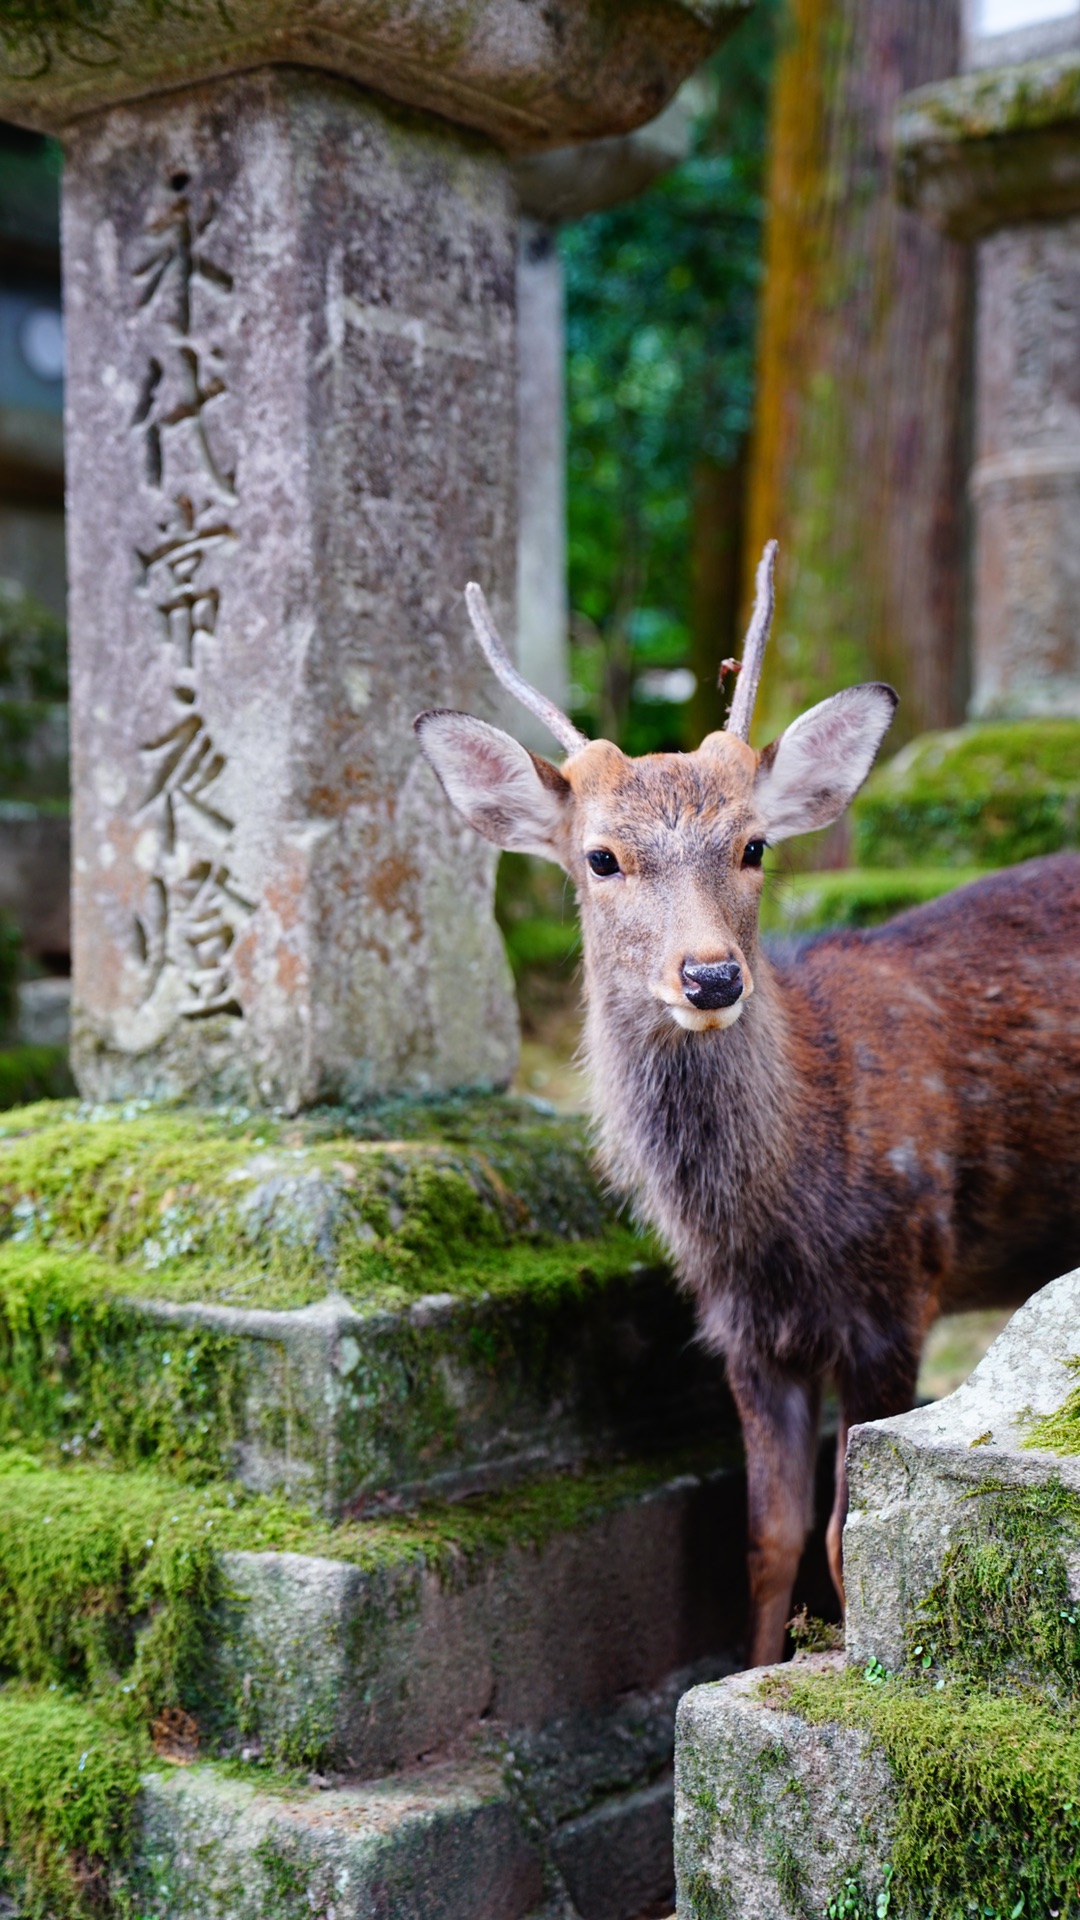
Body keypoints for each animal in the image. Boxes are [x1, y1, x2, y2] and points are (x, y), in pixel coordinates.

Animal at [409, 545, 1076, 1666]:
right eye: (601, 856)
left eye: (755, 846)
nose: (712, 975)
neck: (776, 1213)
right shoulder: (745, 1330)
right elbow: (768, 1537)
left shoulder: (897, 1290)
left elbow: (851, 1539)